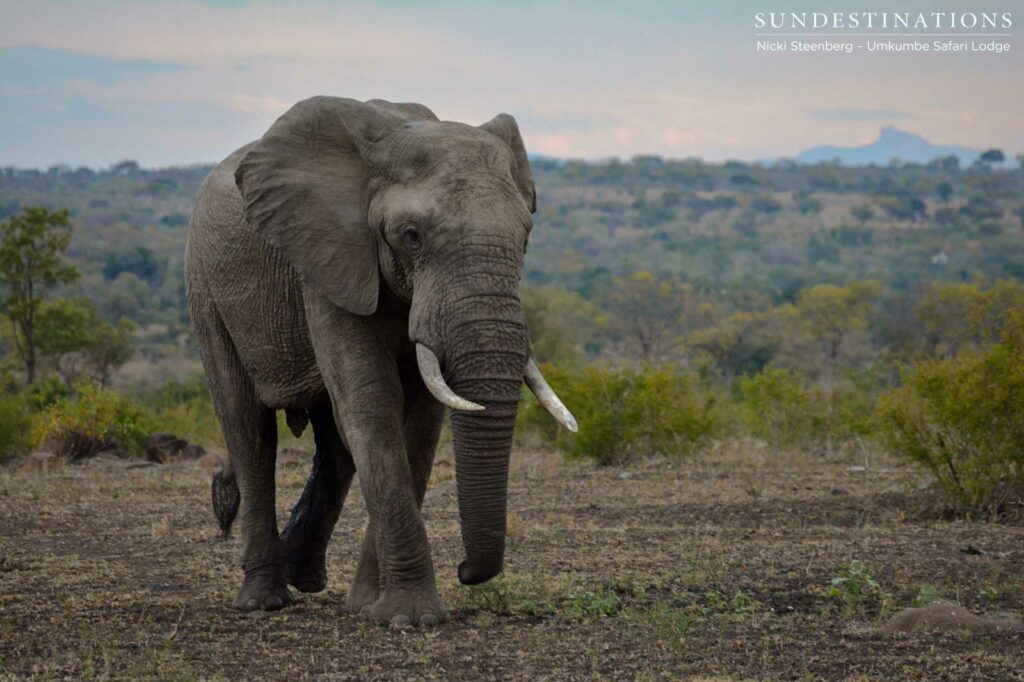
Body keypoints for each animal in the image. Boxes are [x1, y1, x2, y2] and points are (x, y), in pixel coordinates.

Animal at [185, 96, 577, 626]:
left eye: (526, 239)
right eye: (411, 236)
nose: (465, 571)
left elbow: (418, 423)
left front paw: (372, 607)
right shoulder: (328, 259)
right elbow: (372, 404)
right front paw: (410, 617)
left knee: (335, 447)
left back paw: (304, 576)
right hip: (204, 286)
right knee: (248, 429)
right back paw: (264, 600)